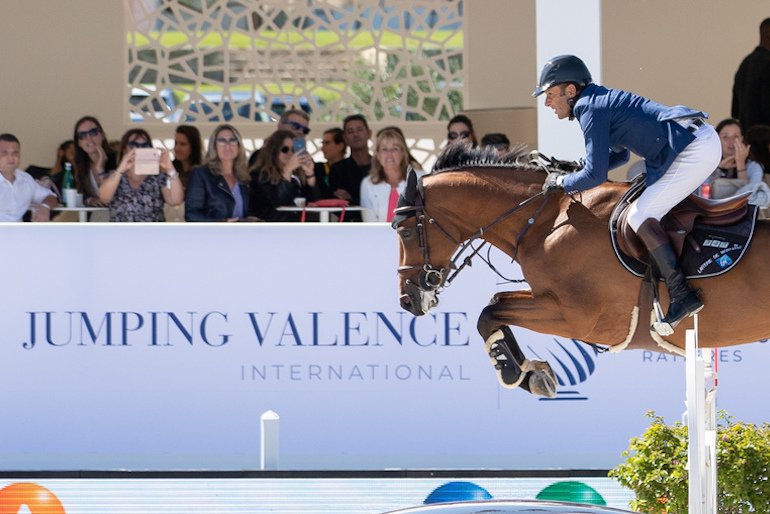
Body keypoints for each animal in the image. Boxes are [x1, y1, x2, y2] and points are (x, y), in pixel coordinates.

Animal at [393, 145, 770, 397]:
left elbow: (488, 314)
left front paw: (518, 374)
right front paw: (534, 373)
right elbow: (495, 304)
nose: (408, 299)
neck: (545, 220)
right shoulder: (548, 298)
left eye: (405, 231)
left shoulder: (577, 318)